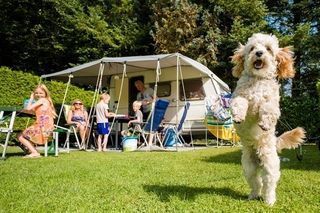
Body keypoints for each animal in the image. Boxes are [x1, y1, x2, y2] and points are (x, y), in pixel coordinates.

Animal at [230, 33, 304, 206]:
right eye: (252, 48)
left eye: (268, 49)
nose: (259, 53)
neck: (257, 80)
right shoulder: (241, 96)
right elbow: (239, 102)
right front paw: (238, 115)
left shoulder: (271, 102)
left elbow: (268, 108)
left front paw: (265, 123)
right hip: (248, 167)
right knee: (256, 183)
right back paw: (253, 195)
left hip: (270, 166)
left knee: (269, 184)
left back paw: (269, 200)